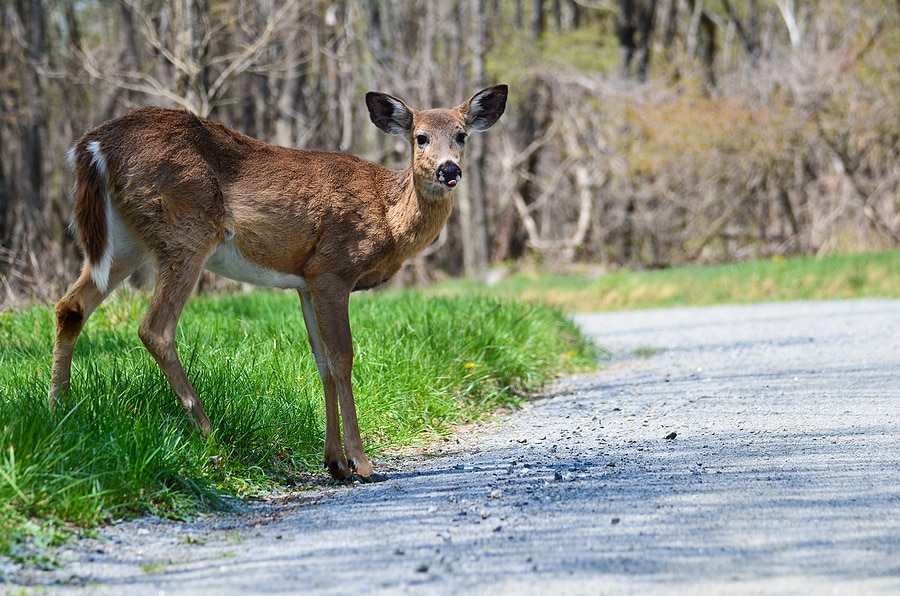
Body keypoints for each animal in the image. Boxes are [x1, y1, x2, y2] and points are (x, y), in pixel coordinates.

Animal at [52, 85, 510, 484]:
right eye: (421, 137)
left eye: (462, 135)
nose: (449, 170)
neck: (387, 214)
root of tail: (94, 146)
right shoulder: (333, 267)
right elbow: (342, 358)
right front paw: (361, 463)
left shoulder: (306, 280)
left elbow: (322, 362)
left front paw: (335, 463)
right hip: (186, 228)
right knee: (155, 328)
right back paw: (213, 439)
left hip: (126, 240)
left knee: (70, 307)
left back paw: (60, 413)